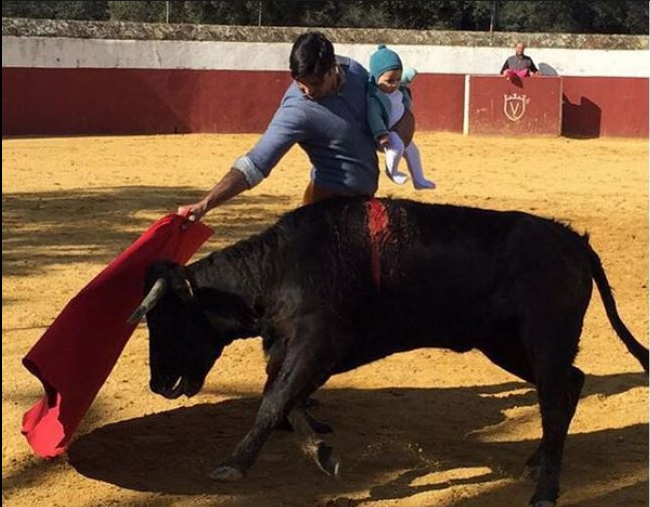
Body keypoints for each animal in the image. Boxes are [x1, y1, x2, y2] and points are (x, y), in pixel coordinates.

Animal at [129, 198, 644, 507]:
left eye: (166, 319)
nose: (156, 383)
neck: (279, 268)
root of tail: (574, 241)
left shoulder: (317, 344)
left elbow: (274, 401)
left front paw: (234, 465)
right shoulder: (295, 350)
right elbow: (283, 399)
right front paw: (322, 451)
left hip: (544, 339)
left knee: (554, 402)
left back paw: (545, 490)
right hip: (505, 344)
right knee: (570, 384)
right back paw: (537, 460)